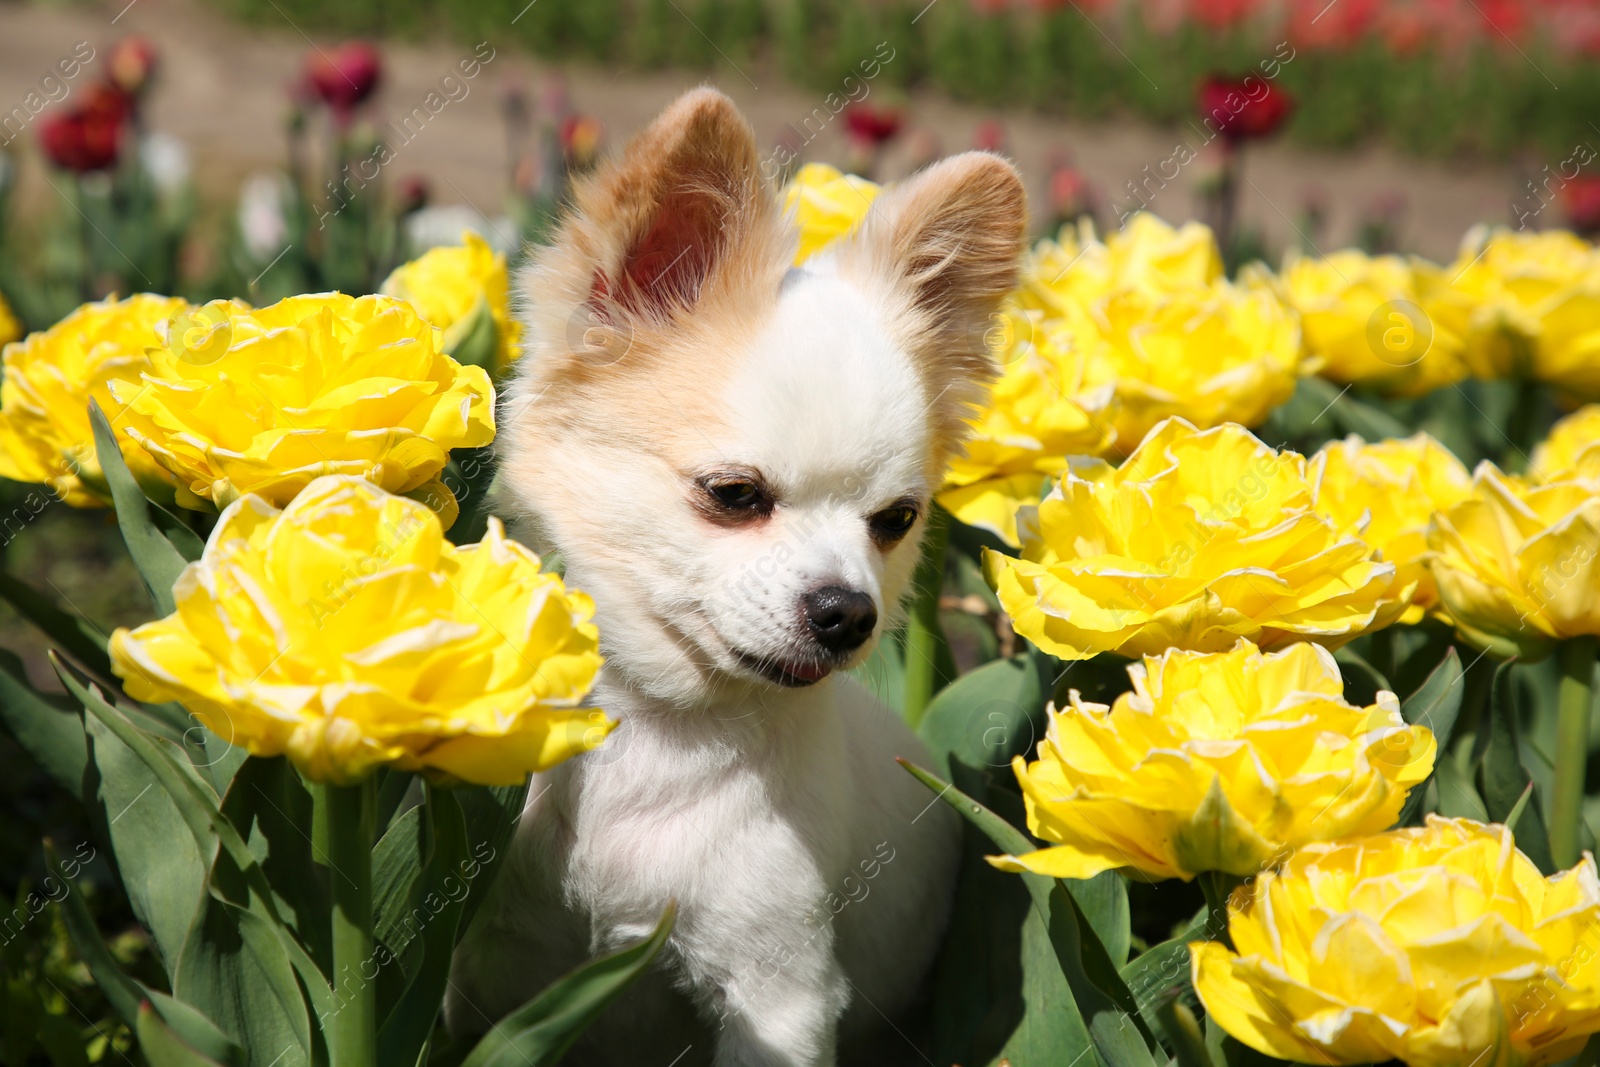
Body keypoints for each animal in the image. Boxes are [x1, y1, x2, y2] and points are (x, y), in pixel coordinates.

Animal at [448, 89, 1024, 1067]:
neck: (657, 733)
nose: (848, 611)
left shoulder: (777, 994)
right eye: (734, 495)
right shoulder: (471, 978)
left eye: (895, 521)